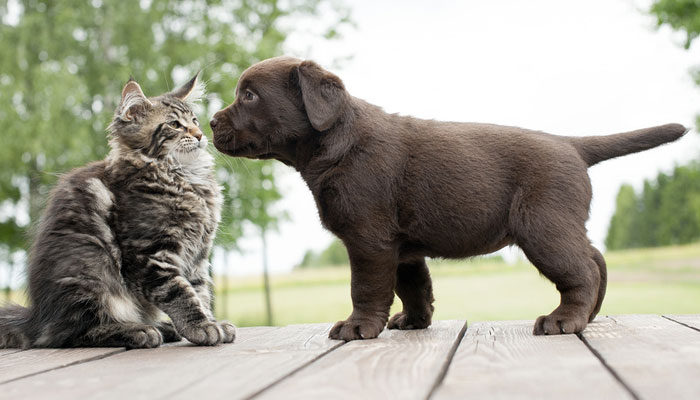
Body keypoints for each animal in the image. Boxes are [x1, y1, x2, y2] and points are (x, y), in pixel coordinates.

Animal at [0, 74, 235, 346]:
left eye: (194, 121)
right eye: (175, 125)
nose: (199, 135)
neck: (184, 177)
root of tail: (36, 320)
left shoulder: (197, 256)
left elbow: (200, 291)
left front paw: (211, 321)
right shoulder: (151, 254)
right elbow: (179, 292)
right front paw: (201, 326)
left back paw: (162, 327)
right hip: (91, 270)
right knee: (72, 334)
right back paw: (137, 330)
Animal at [209, 54, 688, 340]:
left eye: (248, 95)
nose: (211, 122)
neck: (337, 142)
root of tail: (570, 144)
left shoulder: (368, 239)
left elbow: (366, 287)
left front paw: (358, 327)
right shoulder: (400, 247)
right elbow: (413, 286)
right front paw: (413, 322)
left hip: (542, 226)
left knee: (582, 269)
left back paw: (564, 320)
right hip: (559, 224)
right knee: (596, 259)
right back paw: (588, 316)